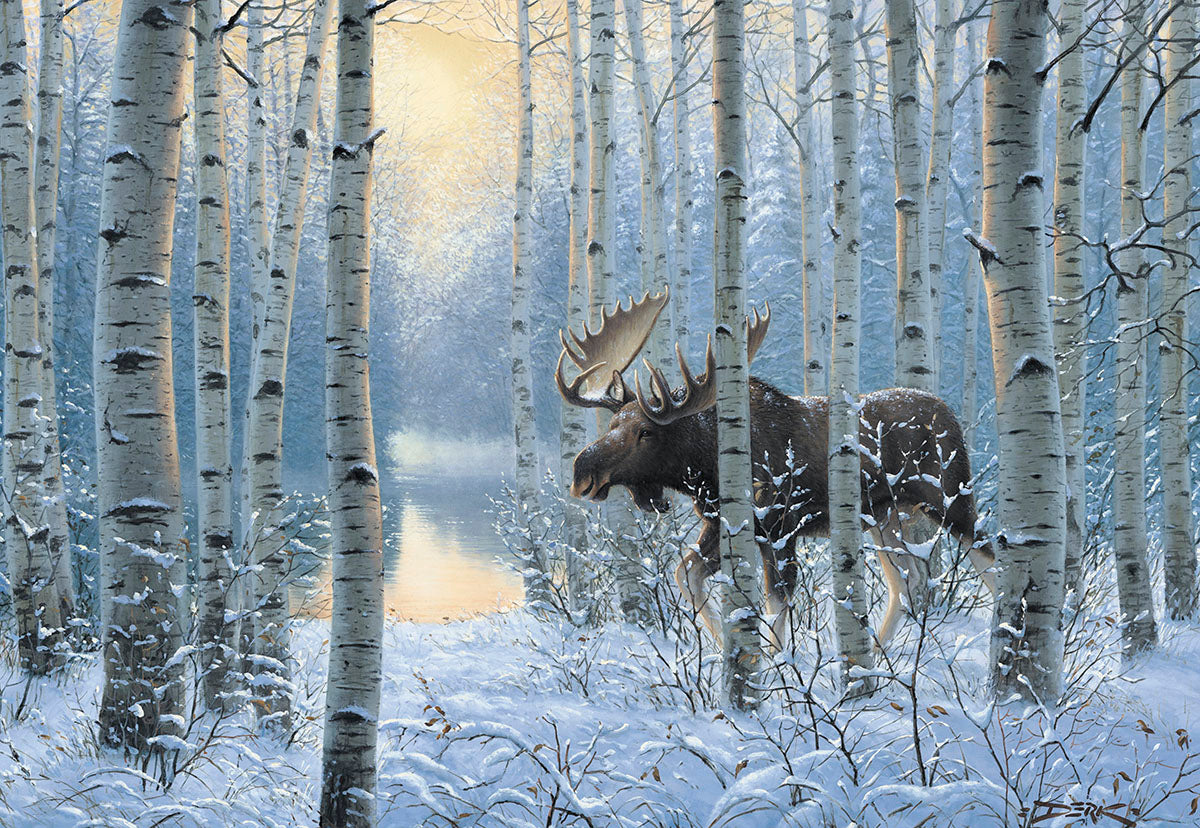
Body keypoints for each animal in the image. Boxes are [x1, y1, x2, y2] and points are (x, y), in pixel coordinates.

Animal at [555, 289, 996, 652]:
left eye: (645, 432)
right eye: (612, 425)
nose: (582, 473)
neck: (706, 469)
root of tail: (951, 415)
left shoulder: (782, 527)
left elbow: (776, 604)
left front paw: (775, 668)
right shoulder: (724, 524)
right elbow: (687, 574)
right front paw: (725, 648)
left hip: (951, 499)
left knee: (989, 556)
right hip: (884, 515)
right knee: (908, 581)